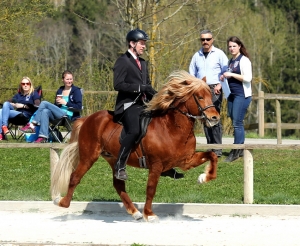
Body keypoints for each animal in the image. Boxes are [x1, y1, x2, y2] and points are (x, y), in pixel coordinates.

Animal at [51, 69, 220, 221]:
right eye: (199, 97)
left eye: (210, 96)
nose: (215, 118)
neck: (173, 128)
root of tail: (88, 119)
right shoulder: (156, 165)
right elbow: (151, 188)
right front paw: (149, 214)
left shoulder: (186, 160)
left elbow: (212, 155)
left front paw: (204, 177)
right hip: (89, 156)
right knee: (75, 177)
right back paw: (61, 202)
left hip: (114, 158)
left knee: (118, 184)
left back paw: (135, 212)